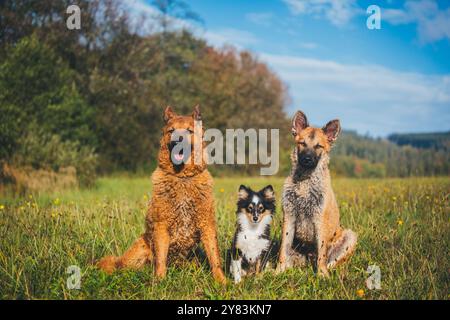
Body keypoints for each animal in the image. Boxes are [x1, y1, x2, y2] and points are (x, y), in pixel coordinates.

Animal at [97, 104, 227, 282]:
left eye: (189, 131)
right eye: (171, 131)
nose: (177, 140)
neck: (182, 177)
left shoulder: (207, 224)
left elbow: (215, 257)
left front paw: (221, 281)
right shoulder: (161, 226)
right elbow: (160, 259)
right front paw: (160, 281)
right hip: (140, 248)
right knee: (120, 266)